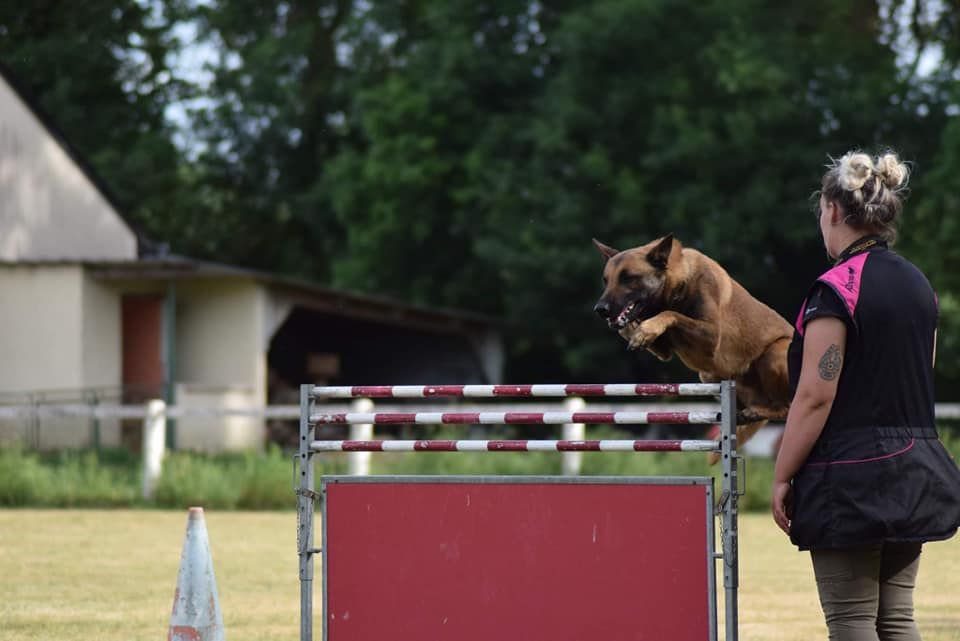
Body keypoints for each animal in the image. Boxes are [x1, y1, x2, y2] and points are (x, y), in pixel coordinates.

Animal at [592, 232, 796, 458]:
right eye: (606, 281)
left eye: (627, 278)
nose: (600, 309)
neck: (676, 284)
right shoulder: (664, 350)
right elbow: (640, 327)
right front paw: (637, 332)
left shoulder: (710, 336)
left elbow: (672, 314)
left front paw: (645, 329)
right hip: (708, 376)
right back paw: (743, 415)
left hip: (774, 354)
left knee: (786, 407)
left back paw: (759, 410)